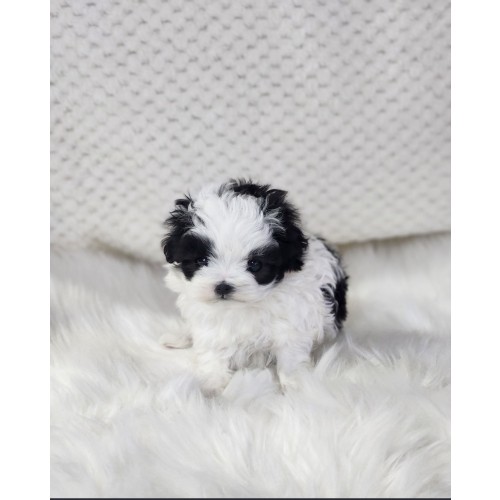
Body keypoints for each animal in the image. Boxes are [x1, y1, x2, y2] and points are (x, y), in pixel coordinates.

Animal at [161, 179, 348, 393]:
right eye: (201, 260)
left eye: (255, 265)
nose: (223, 286)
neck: (243, 307)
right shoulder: (210, 325)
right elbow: (211, 350)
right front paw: (211, 383)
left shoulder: (292, 324)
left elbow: (290, 356)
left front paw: (295, 384)